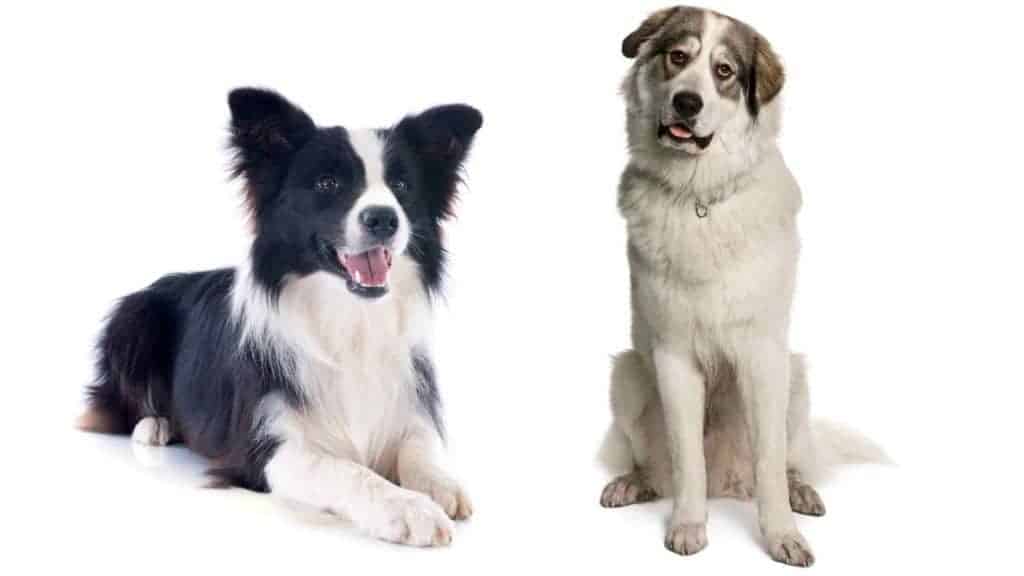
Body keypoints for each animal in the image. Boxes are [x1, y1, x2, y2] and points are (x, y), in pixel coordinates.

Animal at [76, 87, 483, 545]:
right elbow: (348, 471)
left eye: (401, 186)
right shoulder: (268, 448)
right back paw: (153, 426)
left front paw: (440, 483)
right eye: (327, 183)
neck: (350, 320)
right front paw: (409, 508)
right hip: (132, 320)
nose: (384, 217)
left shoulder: (407, 399)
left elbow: (421, 447)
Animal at [602, 6, 884, 565]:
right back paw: (632, 483)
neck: (699, 195)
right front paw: (688, 525)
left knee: (784, 461)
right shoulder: (673, 356)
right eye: (678, 57)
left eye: (724, 72)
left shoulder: (762, 355)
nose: (687, 102)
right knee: (656, 466)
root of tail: (728, 484)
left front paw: (782, 535)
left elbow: (770, 464)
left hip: (795, 379)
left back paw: (801, 492)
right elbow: (687, 460)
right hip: (628, 375)